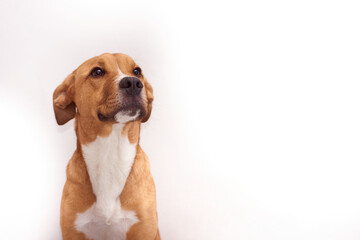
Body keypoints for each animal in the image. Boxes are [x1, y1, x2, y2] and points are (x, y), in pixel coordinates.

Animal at [52, 53, 160, 240]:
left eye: (137, 71)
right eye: (97, 71)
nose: (133, 83)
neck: (111, 155)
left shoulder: (143, 228)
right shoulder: (74, 230)